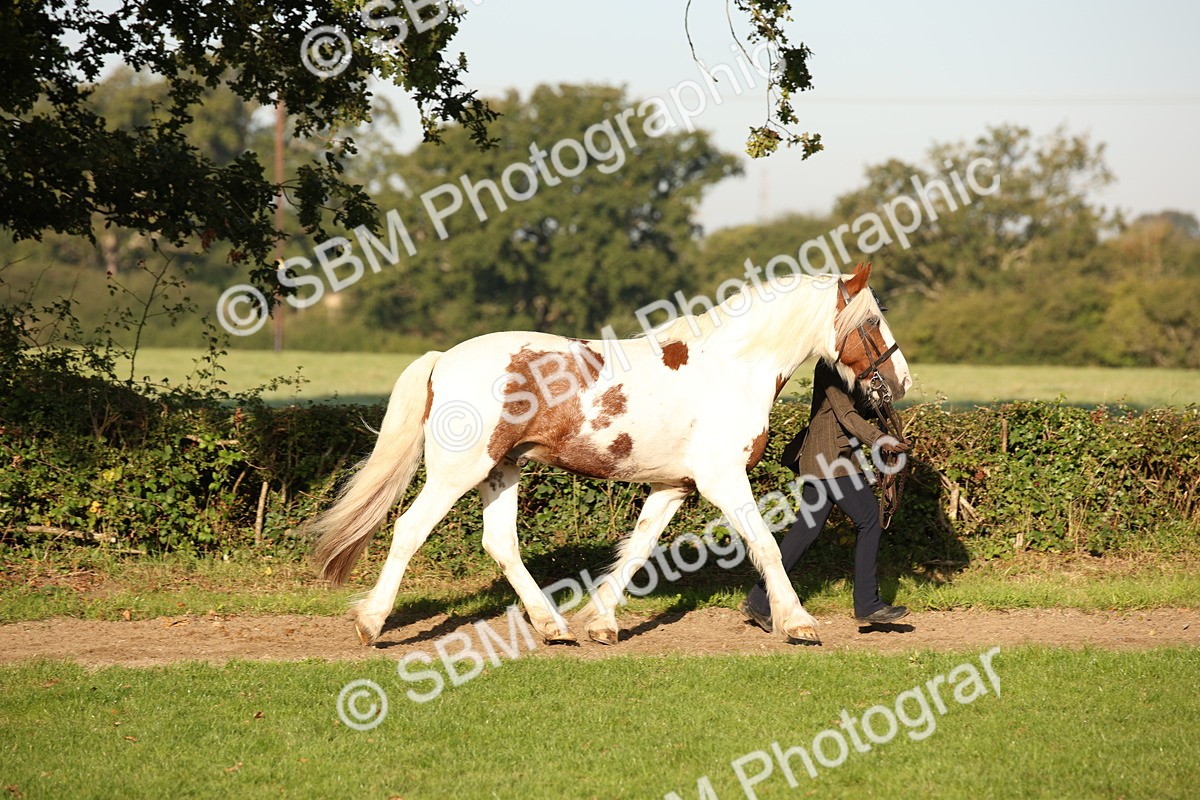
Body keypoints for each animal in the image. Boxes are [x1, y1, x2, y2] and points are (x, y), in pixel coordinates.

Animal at [310, 262, 911, 646]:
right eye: (873, 321)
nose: (902, 382)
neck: (732, 367)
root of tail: (443, 358)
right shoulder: (722, 480)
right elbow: (765, 545)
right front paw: (798, 623)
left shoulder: (674, 486)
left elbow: (638, 549)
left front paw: (601, 624)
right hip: (457, 471)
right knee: (409, 530)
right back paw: (371, 623)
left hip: (501, 471)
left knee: (501, 544)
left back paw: (552, 627)